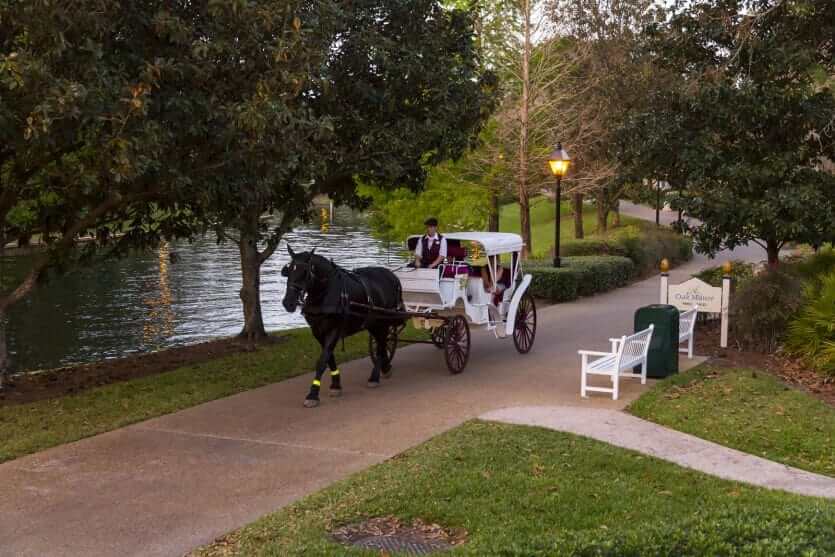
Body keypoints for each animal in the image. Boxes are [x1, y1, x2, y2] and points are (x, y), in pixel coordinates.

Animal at [282, 245, 406, 406]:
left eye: (305, 272)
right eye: (288, 270)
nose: (288, 303)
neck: (325, 292)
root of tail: (393, 276)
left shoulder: (334, 330)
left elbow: (322, 360)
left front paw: (313, 394)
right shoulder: (317, 331)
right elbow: (329, 358)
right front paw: (336, 385)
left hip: (382, 321)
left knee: (381, 346)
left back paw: (374, 376)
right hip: (373, 323)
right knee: (382, 344)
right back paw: (385, 367)